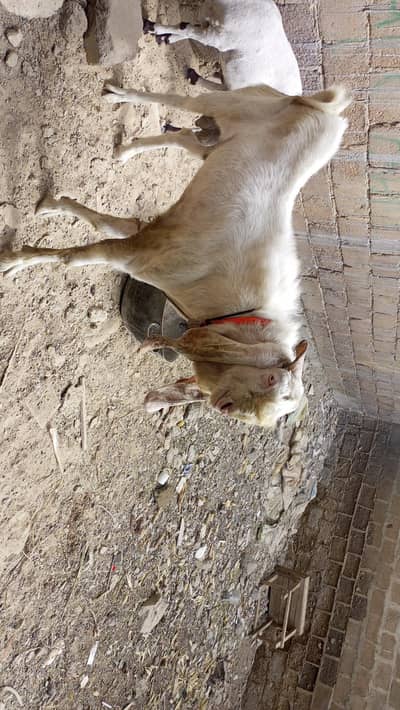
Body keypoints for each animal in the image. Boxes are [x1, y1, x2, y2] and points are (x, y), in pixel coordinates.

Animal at [0, 83, 350, 427]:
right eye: (270, 379)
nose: (226, 407)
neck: (240, 309)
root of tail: (327, 109)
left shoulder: (151, 241)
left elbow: (110, 225)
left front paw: (51, 206)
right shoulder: (142, 255)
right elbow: (74, 257)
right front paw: (15, 261)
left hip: (218, 144)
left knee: (183, 137)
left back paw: (124, 151)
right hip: (234, 102)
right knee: (178, 100)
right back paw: (117, 95)